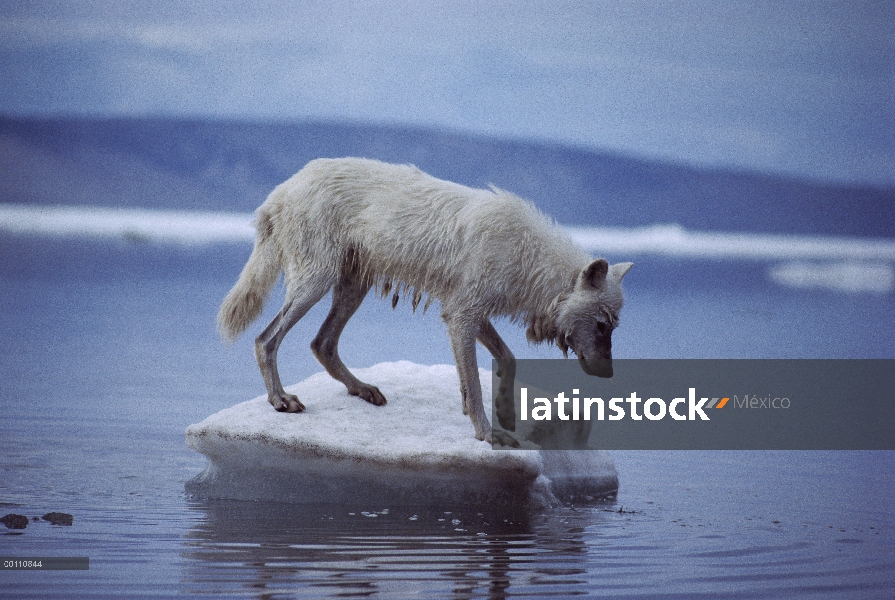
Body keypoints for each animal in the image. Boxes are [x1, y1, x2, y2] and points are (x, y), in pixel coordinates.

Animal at [220, 157, 632, 442]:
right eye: (601, 325)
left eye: (614, 327)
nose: (609, 374)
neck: (527, 257)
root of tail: (281, 190)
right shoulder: (462, 316)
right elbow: (475, 385)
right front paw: (487, 433)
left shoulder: (468, 313)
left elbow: (506, 360)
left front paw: (505, 411)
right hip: (314, 284)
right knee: (266, 339)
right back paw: (280, 399)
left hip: (352, 287)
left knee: (322, 343)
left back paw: (363, 389)